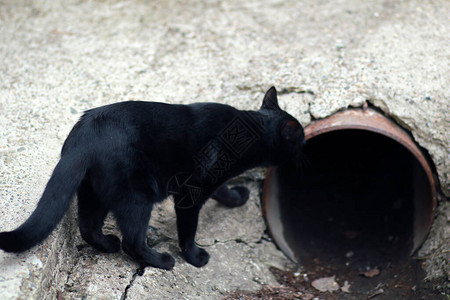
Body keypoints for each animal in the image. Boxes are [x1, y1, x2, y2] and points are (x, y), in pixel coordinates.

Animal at [0, 86, 306, 270]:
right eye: (301, 137)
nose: (305, 147)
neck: (249, 129)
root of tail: (84, 135)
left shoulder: (208, 181)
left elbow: (222, 190)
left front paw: (236, 197)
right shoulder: (190, 192)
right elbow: (188, 231)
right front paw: (195, 258)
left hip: (93, 191)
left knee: (89, 227)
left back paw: (108, 245)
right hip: (137, 196)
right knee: (132, 242)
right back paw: (162, 261)